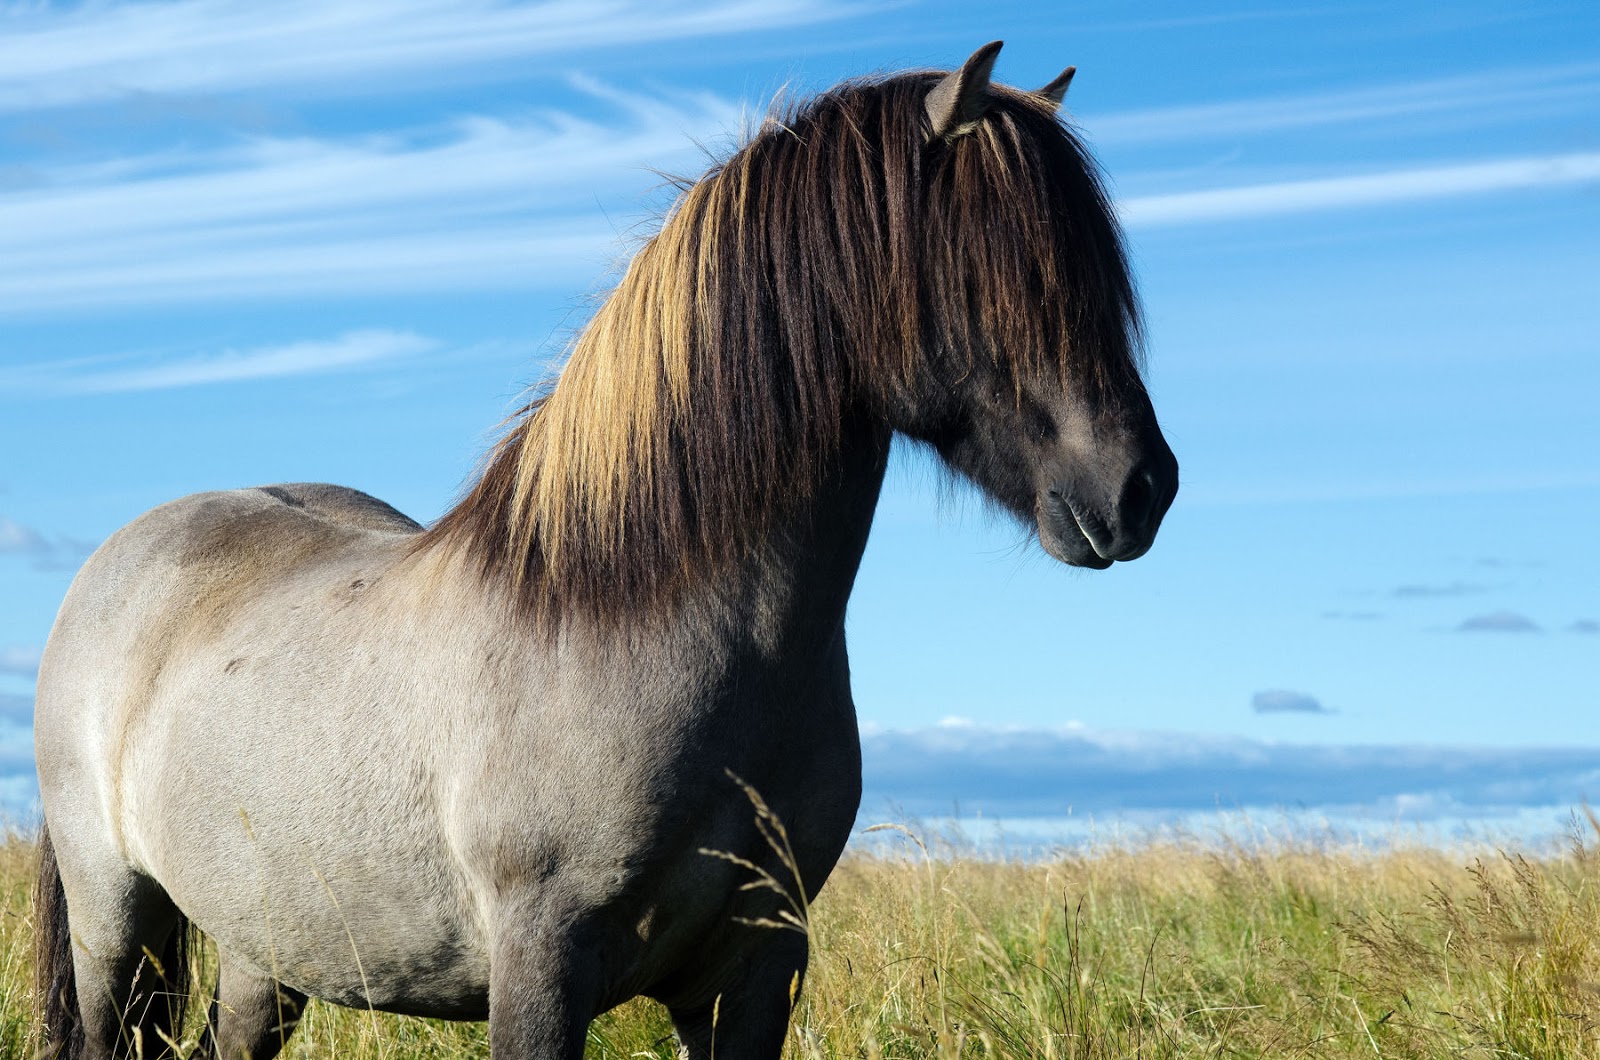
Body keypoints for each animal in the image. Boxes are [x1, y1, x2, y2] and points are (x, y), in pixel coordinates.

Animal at [32, 41, 1177, 1060]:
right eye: (992, 272)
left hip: (267, 948)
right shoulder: (541, 966)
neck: (636, 622)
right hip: (116, 923)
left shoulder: (755, 971)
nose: (1140, 490)